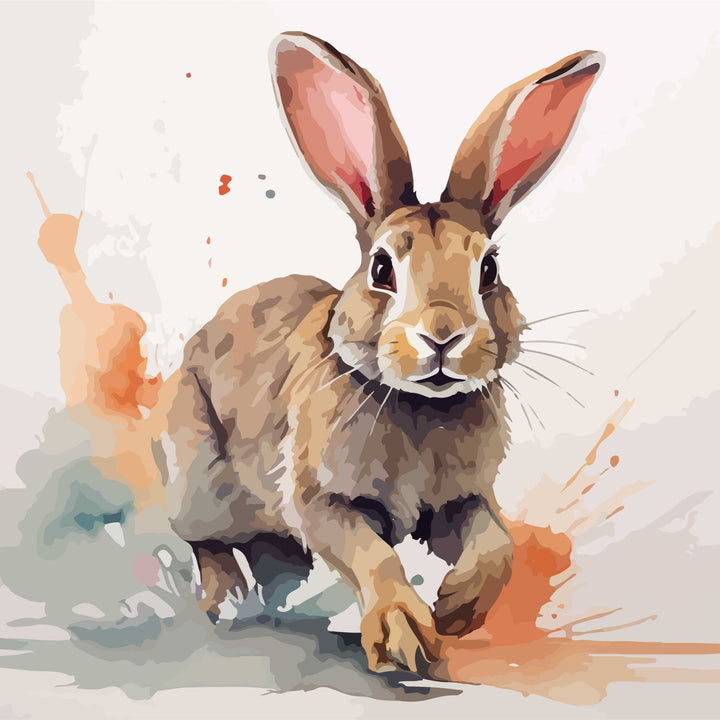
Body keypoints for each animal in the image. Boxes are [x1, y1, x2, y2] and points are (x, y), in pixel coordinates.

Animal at [156, 31, 603, 673]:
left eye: (489, 269)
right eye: (382, 268)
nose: (443, 334)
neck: (418, 404)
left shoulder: (462, 501)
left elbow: (496, 544)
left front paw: (456, 609)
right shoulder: (322, 500)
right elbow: (371, 554)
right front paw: (404, 635)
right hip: (196, 475)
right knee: (204, 538)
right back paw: (225, 599)